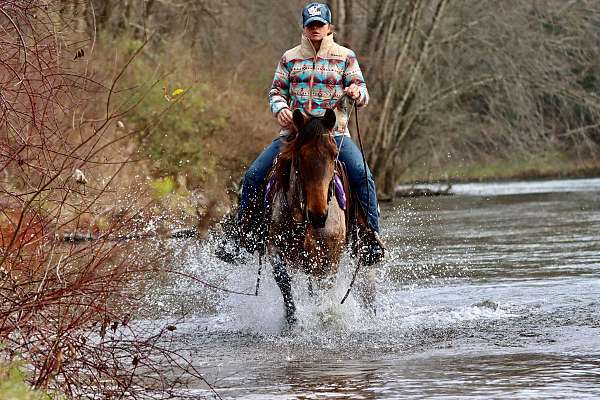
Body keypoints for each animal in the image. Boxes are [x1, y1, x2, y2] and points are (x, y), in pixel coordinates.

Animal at [266, 108, 352, 324]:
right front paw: (291, 318)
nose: (318, 215)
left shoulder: (330, 256)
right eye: (300, 155)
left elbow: (323, 288)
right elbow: (283, 280)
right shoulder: (274, 248)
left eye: (334, 154)